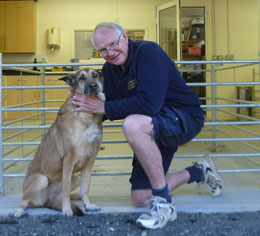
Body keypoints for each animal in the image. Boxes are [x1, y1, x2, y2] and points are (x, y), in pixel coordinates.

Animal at [13, 67, 105, 217]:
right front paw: (66, 210)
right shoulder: (68, 159)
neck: (86, 116)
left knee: (65, 195)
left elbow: (85, 188)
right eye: (81, 78)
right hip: (41, 180)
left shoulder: (90, 161)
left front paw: (88, 205)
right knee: (25, 200)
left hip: (75, 178)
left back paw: (74, 197)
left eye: (95, 75)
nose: (93, 86)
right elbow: (66, 190)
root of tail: (46, 200)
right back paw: (19, 211)